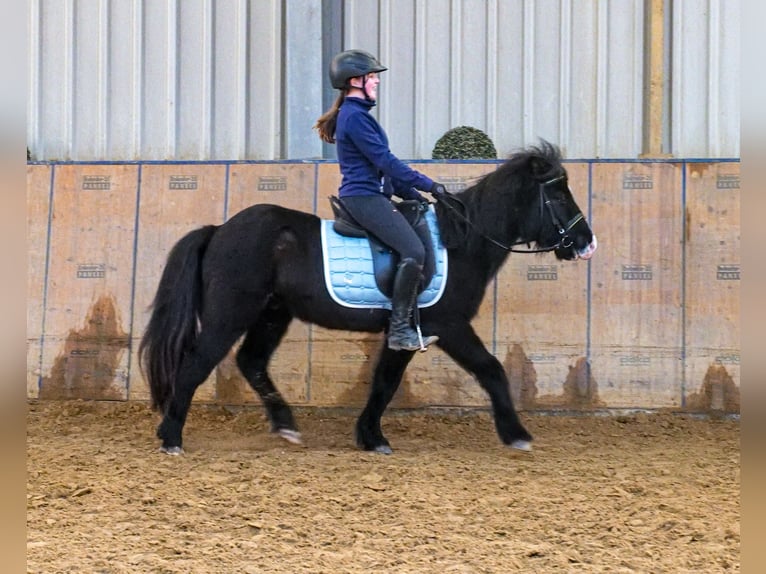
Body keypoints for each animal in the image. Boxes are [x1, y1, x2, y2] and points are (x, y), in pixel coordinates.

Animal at [141, 141, 596, 454]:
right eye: (558, 195)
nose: (587, 243)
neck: (462, 240)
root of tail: (219, 229)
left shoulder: (408, 331)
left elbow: (384, 382)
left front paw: (371, 436)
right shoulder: (447, 325)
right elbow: (491, 370)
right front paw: (517, 434)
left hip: (273, 313)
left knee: (251, 361)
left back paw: (286, 425)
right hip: (231, 312)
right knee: (196, 363)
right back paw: (171, 437)